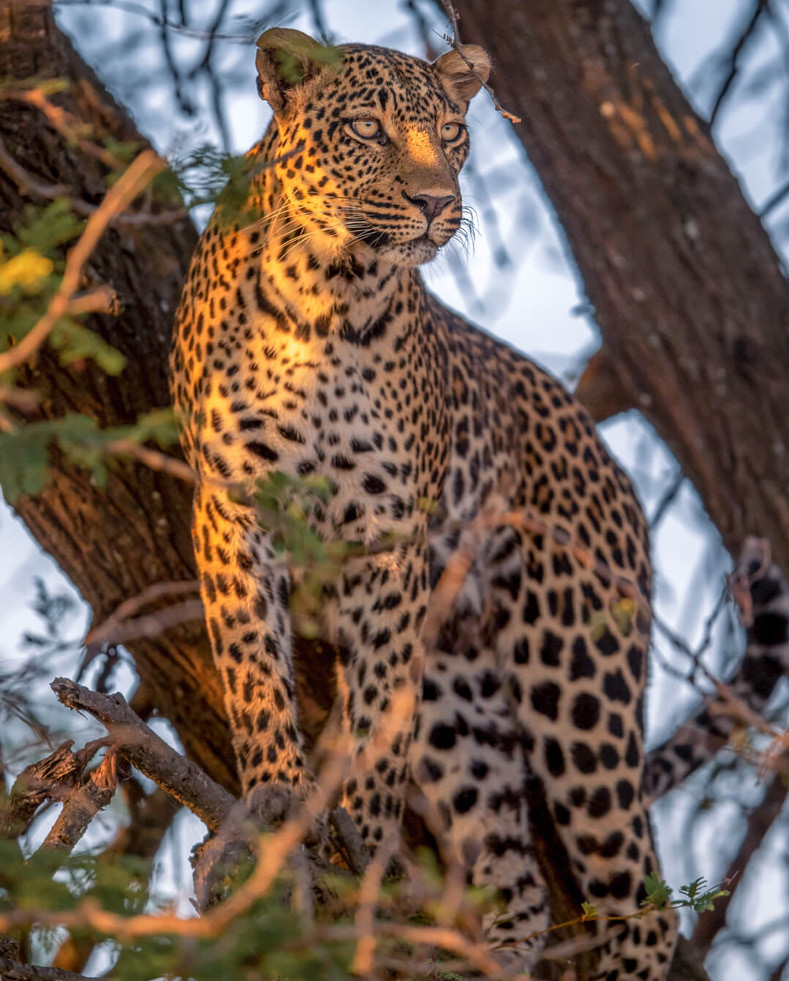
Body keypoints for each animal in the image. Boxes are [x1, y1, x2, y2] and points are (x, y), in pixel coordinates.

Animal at [170, 28, 678, 978]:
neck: (325, 294)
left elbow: (375, 724)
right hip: (457, 694)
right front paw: (277, 802)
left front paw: (361, 845)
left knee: (642, 895)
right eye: (367, 128)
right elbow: (254, 670)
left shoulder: (388, 535)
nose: (438, 202)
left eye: (451, 134)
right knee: (515, 878)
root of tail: (607, 460)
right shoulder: (232, 507)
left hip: (575, 681)